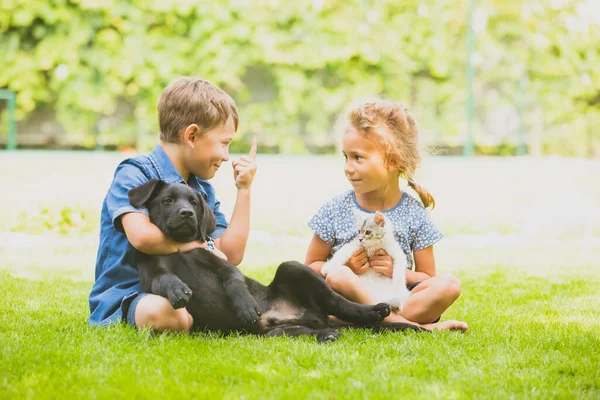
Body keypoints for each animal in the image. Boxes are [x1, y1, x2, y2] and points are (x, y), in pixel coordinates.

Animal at [127, 180, 422, 342]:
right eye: (167, 201)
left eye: (194, 203)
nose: (187, 214)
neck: (178, 247)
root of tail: (314, 317)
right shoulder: (151, 274)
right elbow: (165, 278)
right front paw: (178, 289)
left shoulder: (221, 264)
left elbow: (234, 281)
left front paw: (246, 306)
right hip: (280, 333)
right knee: (312, 330)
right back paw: (327, 335)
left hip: (294, 268)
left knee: (340, 302)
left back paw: (373, 311)